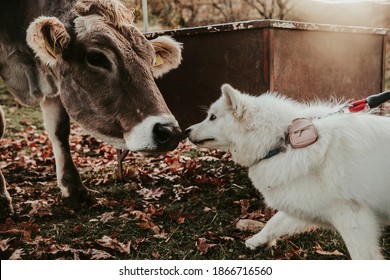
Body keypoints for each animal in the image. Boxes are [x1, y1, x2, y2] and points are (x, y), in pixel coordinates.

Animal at [0, 0, 183, 219]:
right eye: (96, 57)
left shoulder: (55, 77)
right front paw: (1, 198)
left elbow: (59, 129)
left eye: (152, 60)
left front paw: (74, 189)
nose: (169, 132)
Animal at [186, 83, 390, 260]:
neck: (282, 141)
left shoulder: (353, 217)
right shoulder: (305, 204)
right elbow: (274, 223)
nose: (186, 130)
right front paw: (257, 241)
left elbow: (364, 256)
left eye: (212, 117)